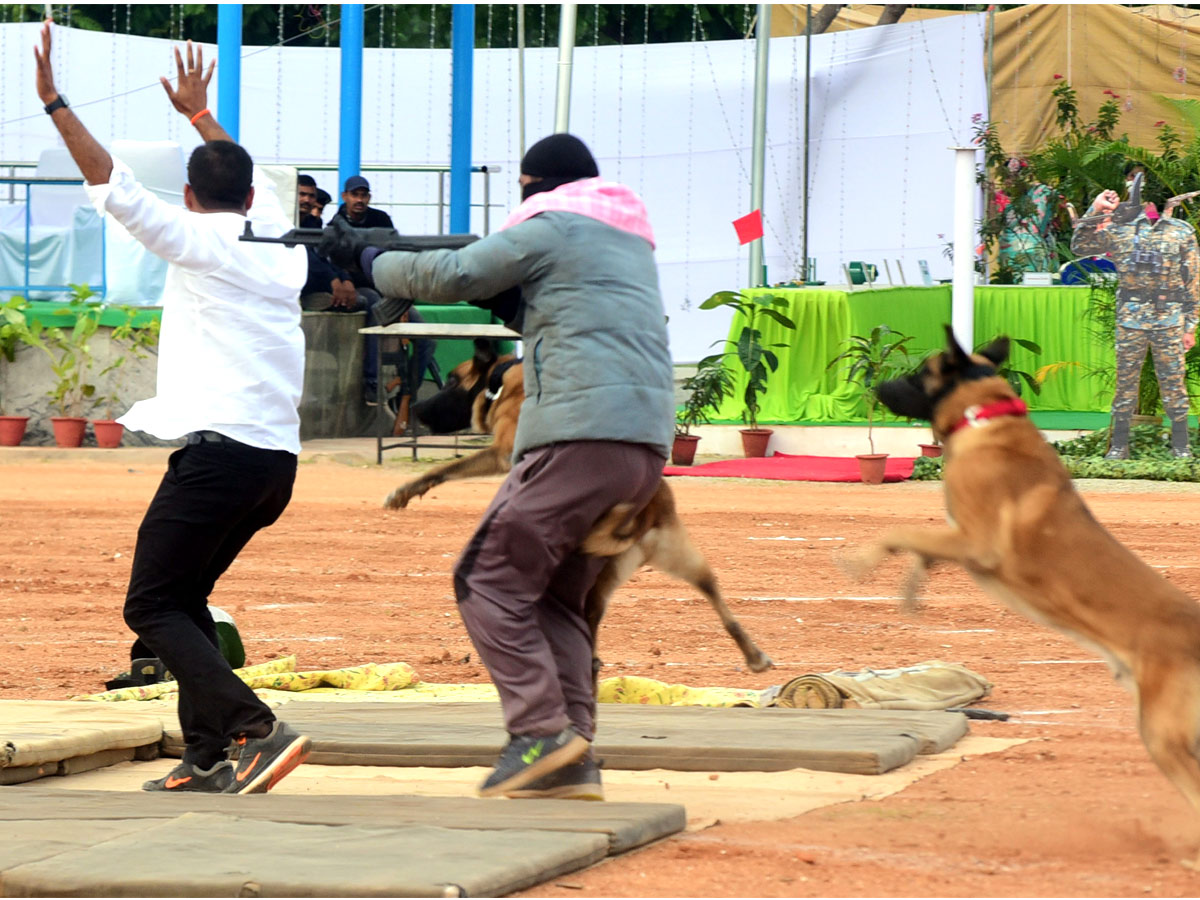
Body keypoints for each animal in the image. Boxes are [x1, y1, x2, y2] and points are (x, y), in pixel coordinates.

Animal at [386, 340, 777, 681]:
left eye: (452, 380)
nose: (414, 410)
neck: (501, 380)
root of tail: (643, 516)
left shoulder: (502, 453)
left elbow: (449, 467)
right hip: (652, 564)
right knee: (707, 597)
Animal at [849, 324, 1200, 868]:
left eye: (917, 373)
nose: (874, 385)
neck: (986, 414)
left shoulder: (976, 542)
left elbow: (900, 530)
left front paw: (863, 559)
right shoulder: (960, 543)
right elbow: (919, 548)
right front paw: (911, 585)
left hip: (1165, 733)